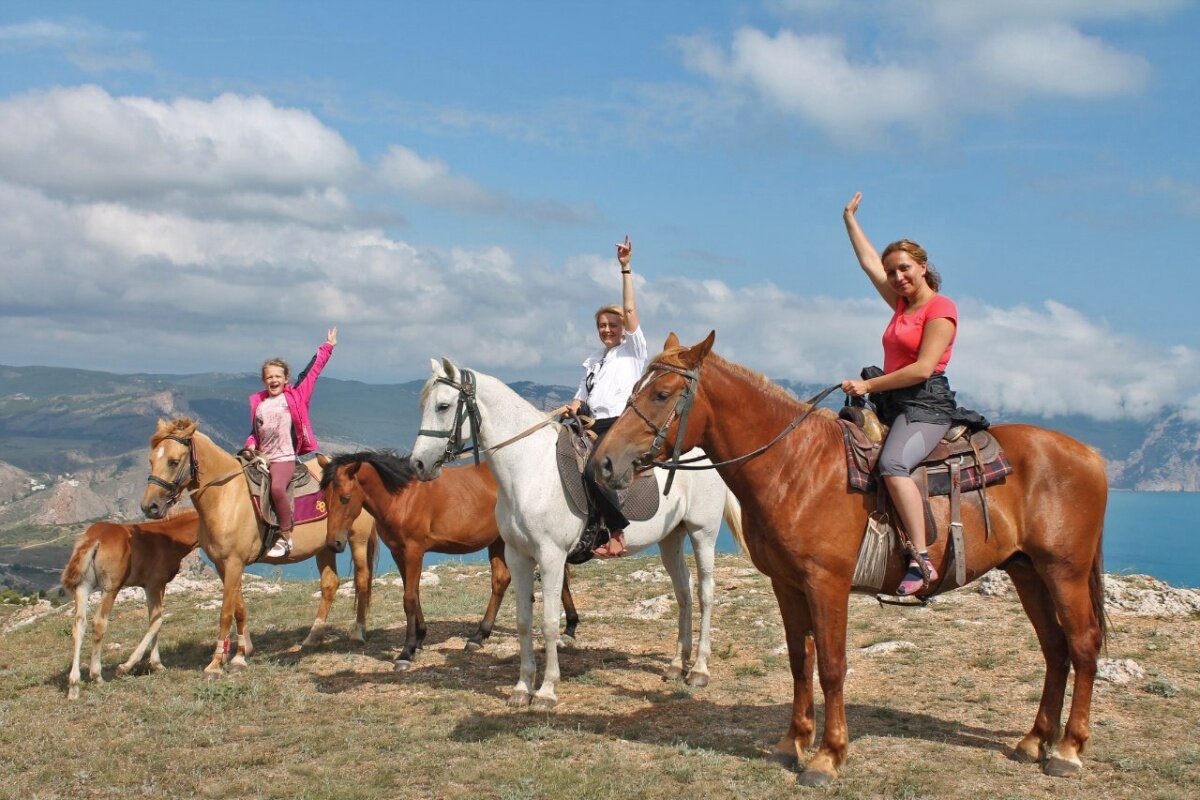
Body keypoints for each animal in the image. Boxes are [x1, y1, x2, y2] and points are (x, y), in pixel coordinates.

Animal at [61, 513, 199, 700]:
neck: (170, 538)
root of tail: (95, 538)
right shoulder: (156, 584)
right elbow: (157, 621)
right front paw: (129, 667)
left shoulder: (149, 586)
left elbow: (153, 620)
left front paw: (155, 663)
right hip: (110, 588)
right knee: (99, 623)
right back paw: (97, 676)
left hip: (83, 586)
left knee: (79, 624)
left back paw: (74, 685)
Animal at [136, 419, 372, 676]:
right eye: (151, 460)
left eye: (173, 461)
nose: (150, 507)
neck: (226, 497)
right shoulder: (223, 565)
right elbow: (239, 607)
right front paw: (242, 652)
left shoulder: (234, 563)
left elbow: (226, 612)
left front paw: (216, 664)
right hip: (325, 547)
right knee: (330, 584)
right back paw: (313, 637)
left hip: (357, 540)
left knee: (362, 580)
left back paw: (358, 632)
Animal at [319, 450, 580, 671]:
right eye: (324, 497)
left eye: (345, 498)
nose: (334, 544)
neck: (403, 497)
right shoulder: (398, 552)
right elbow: (413, 594)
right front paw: (420, 637)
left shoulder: (414, 551)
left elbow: (409, 599)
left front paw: (406, 651)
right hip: (499, 542)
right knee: (502, 581)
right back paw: (480, 635)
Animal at [410, 359, 739, 710]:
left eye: (443, 406)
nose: (418, 464)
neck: (530, 470)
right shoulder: (517, 555)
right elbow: (524, 621)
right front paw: (522, 687)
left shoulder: (552, 557)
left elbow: (549, 623)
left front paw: (546, 691)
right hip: (671, 538)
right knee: (684, 593)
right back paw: (678, 665)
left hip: (702, 532)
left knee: (705, 594)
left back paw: (699, 670)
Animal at [590, 333, 1104, 786]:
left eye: (661, 394)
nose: (604, 463)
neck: (795, 465)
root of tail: (1091, 455)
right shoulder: (787, 584)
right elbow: (800, 661)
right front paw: (792, 744)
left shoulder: (827, 583)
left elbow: (832, 666)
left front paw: (827, 756)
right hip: (1027, 572)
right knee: (1055, 649)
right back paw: (1034, 740)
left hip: (1064, 572)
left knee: (1082, 645)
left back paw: (1067, 750)